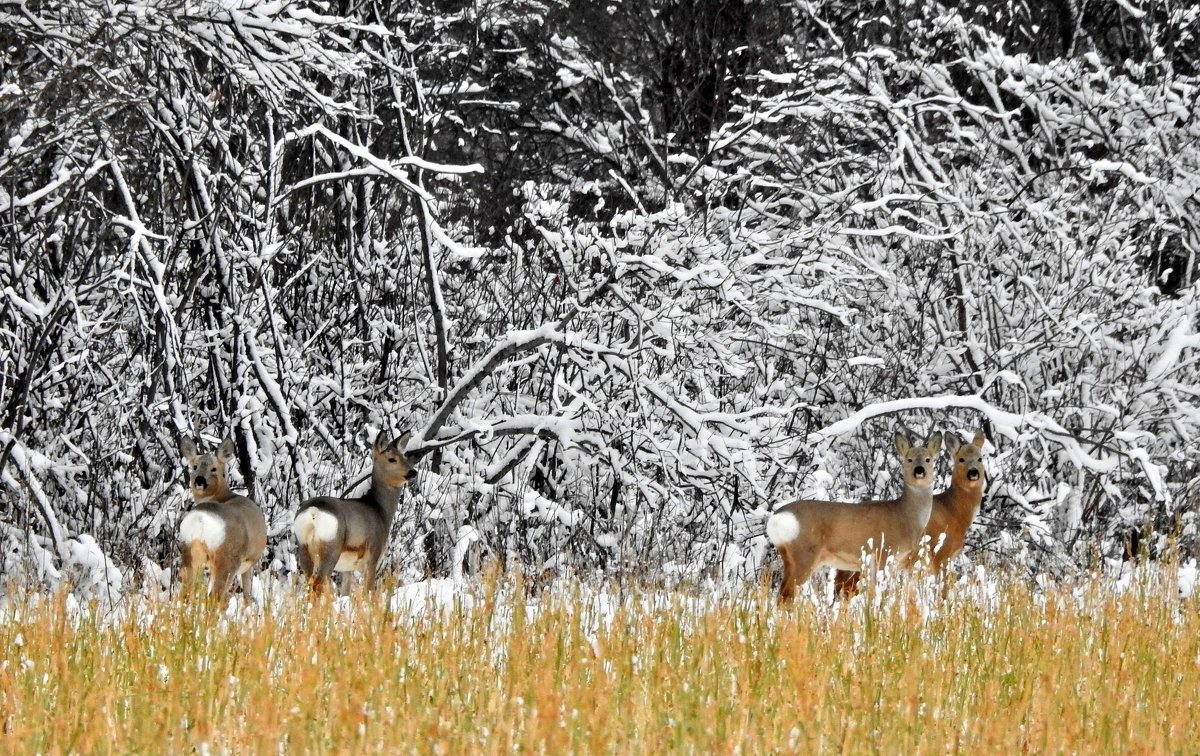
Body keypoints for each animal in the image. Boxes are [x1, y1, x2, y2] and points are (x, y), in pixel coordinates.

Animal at [176, 439, 268, 604]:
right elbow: (247, 592)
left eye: (214, 468)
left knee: (185, 592)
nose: (200, 480)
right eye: (195, 466)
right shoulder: (249, 561)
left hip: (190, 551)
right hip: (228, 558)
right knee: (216, 596)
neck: (224, 496)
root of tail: (202, 519)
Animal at [290, 432, 417, 597]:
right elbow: (369, 590)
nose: (413, 472)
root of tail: (314, 511)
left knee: (309, 583)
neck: (380, 511)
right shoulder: (373, 555)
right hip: (331, 548)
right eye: (392, 459)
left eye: (404, 457)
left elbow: (345, 592)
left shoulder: (347, 568)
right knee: (318, 583)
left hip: (303, 546)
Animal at [763, 429, 940, 607]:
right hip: (805, 553)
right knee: (785, 596)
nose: (919, 470)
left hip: (789, 557)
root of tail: (775, 519)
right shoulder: (883, 552)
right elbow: (879, 593)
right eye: (909, 459)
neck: (905, 516)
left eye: (928, 459)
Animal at [830, 429, 988, 602]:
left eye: (980, 458)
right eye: (961, 459)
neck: (954, 511)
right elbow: (943, 592)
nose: (973, 472)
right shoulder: (941, 555)